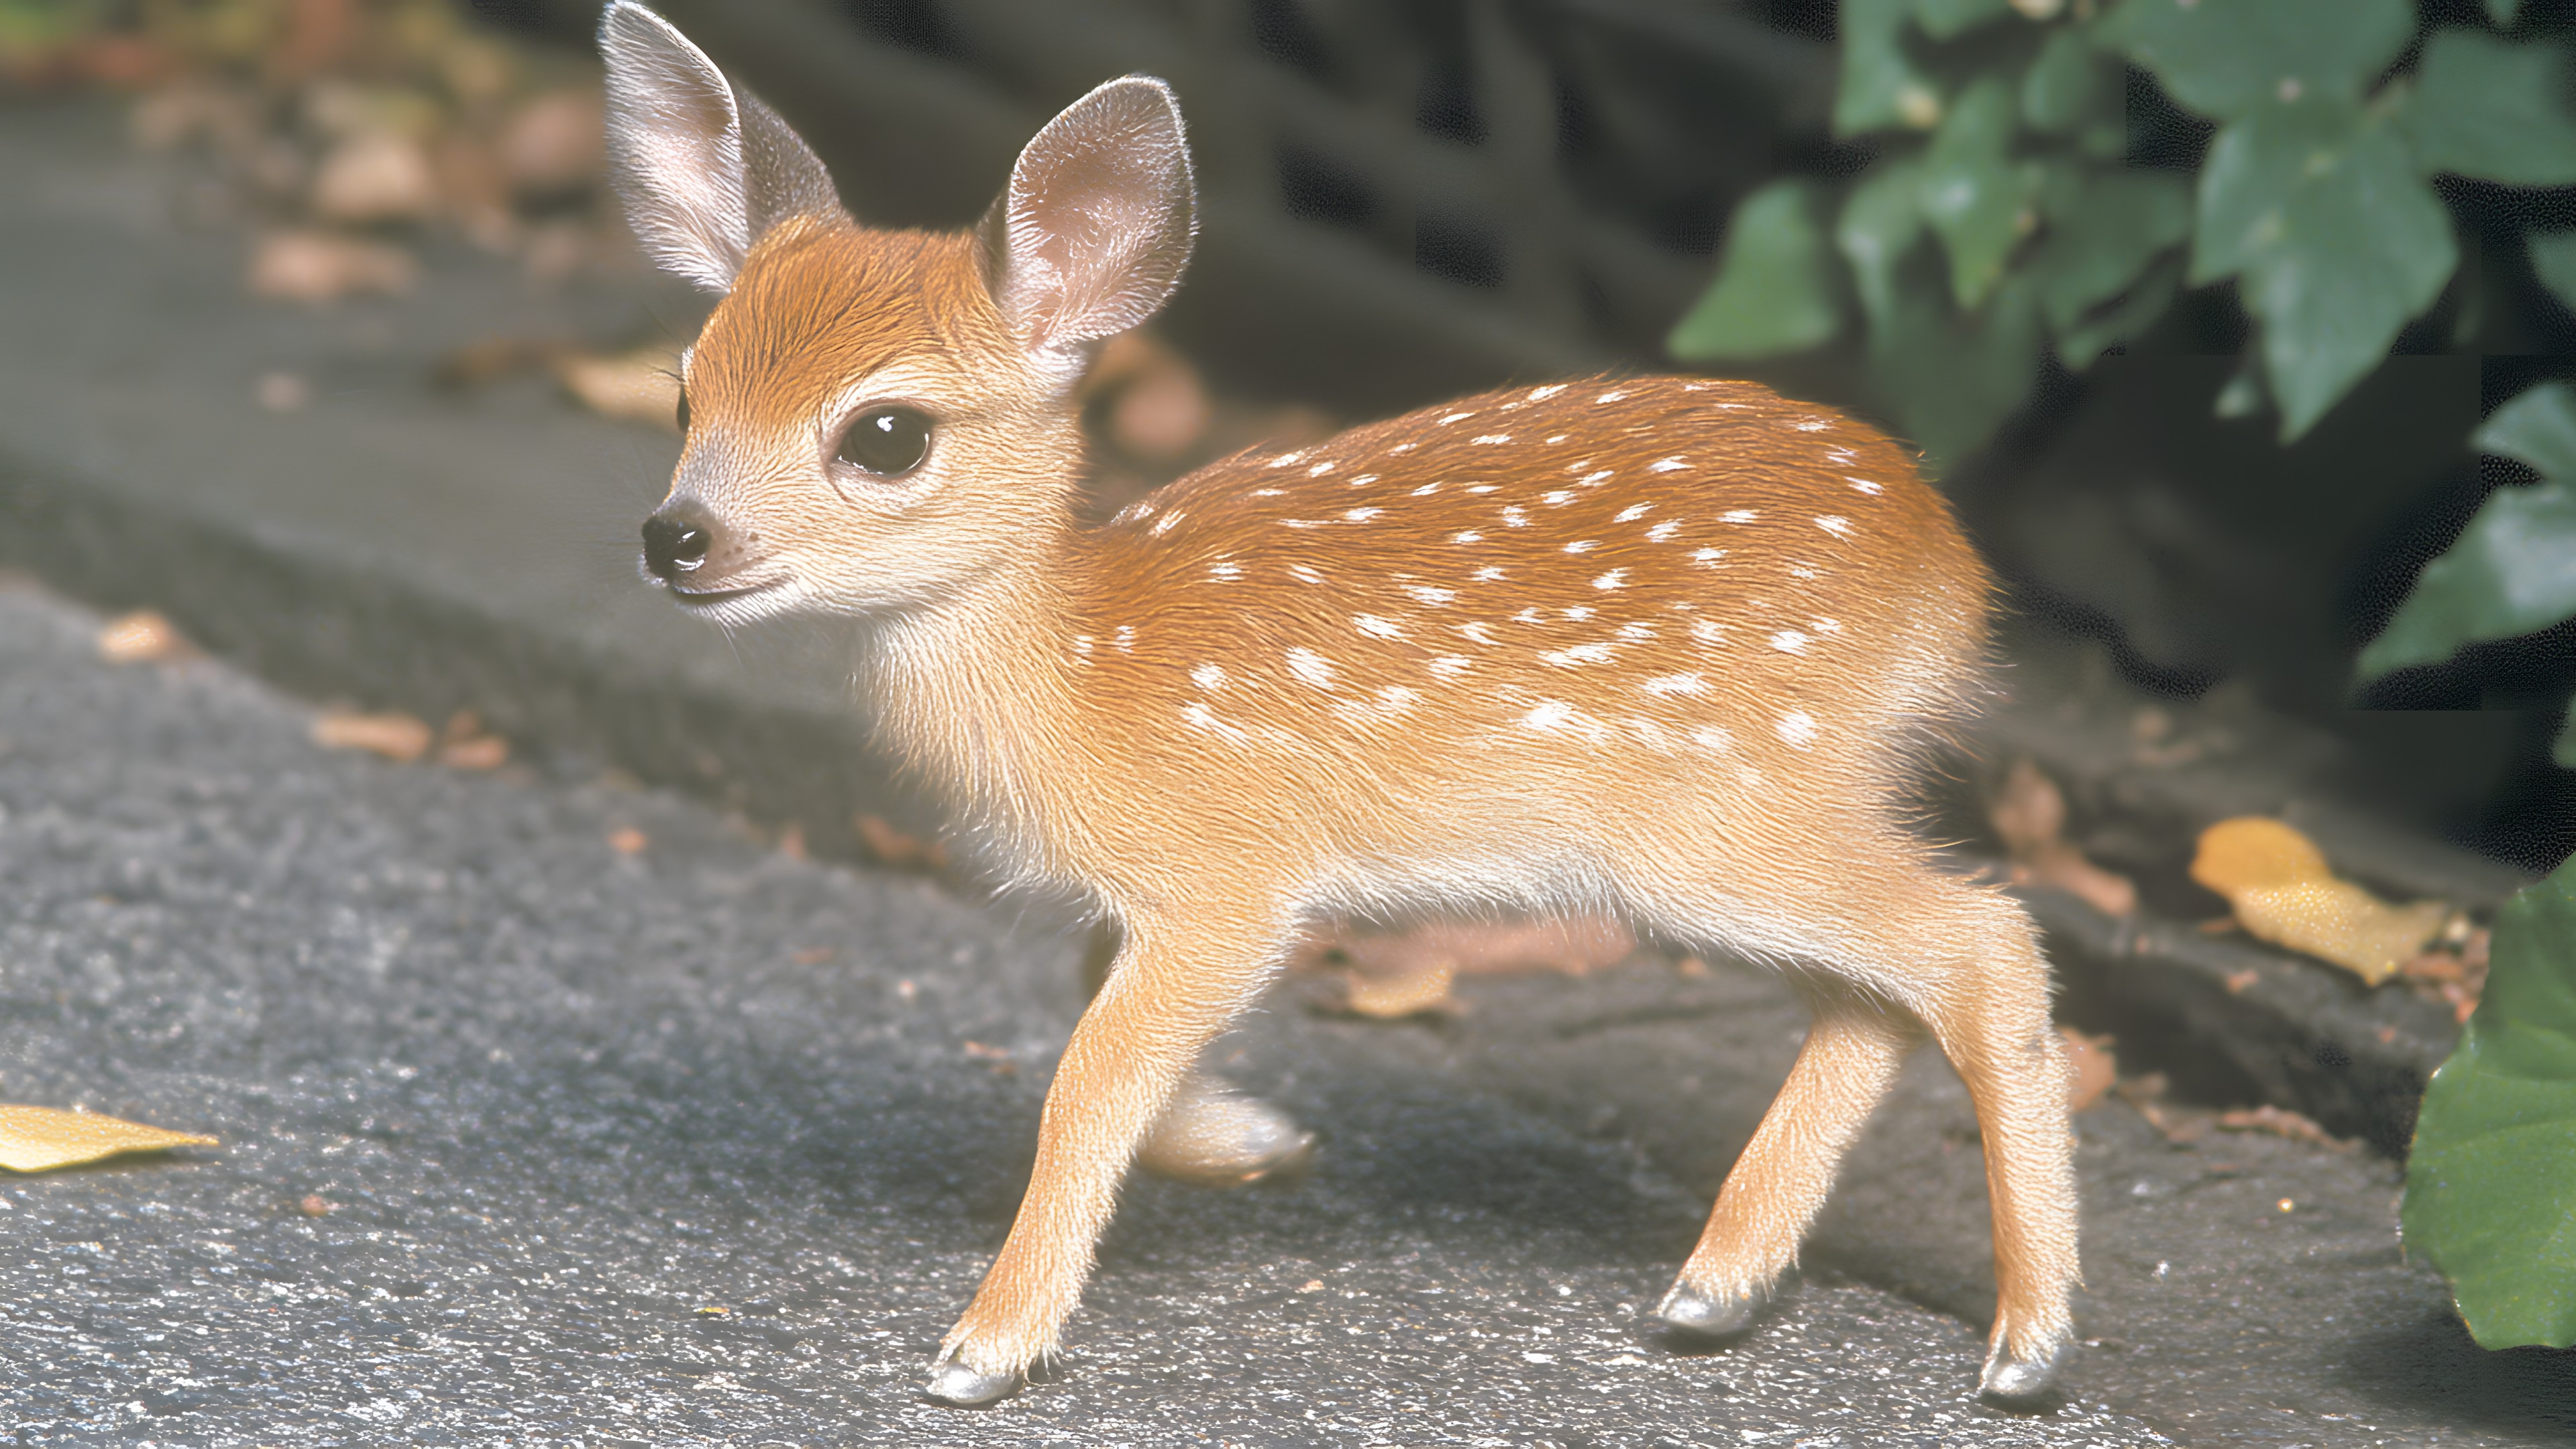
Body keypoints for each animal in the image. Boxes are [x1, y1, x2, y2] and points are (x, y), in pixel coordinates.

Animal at [597, 0, 2071, 1402]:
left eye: (886, 435)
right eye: (684, 397)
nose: (675, 539)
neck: (1081, 680)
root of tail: (1951, 569)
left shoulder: (1236, 876)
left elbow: (1088, 1070)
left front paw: (994, 1341)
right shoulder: (1181, 892)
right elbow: (1095, 1008)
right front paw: (1253, 1136)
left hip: (1718, 816)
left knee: (1984, 940)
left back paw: (2027, 1345)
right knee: (1878, 997)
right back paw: (1722, 1285)